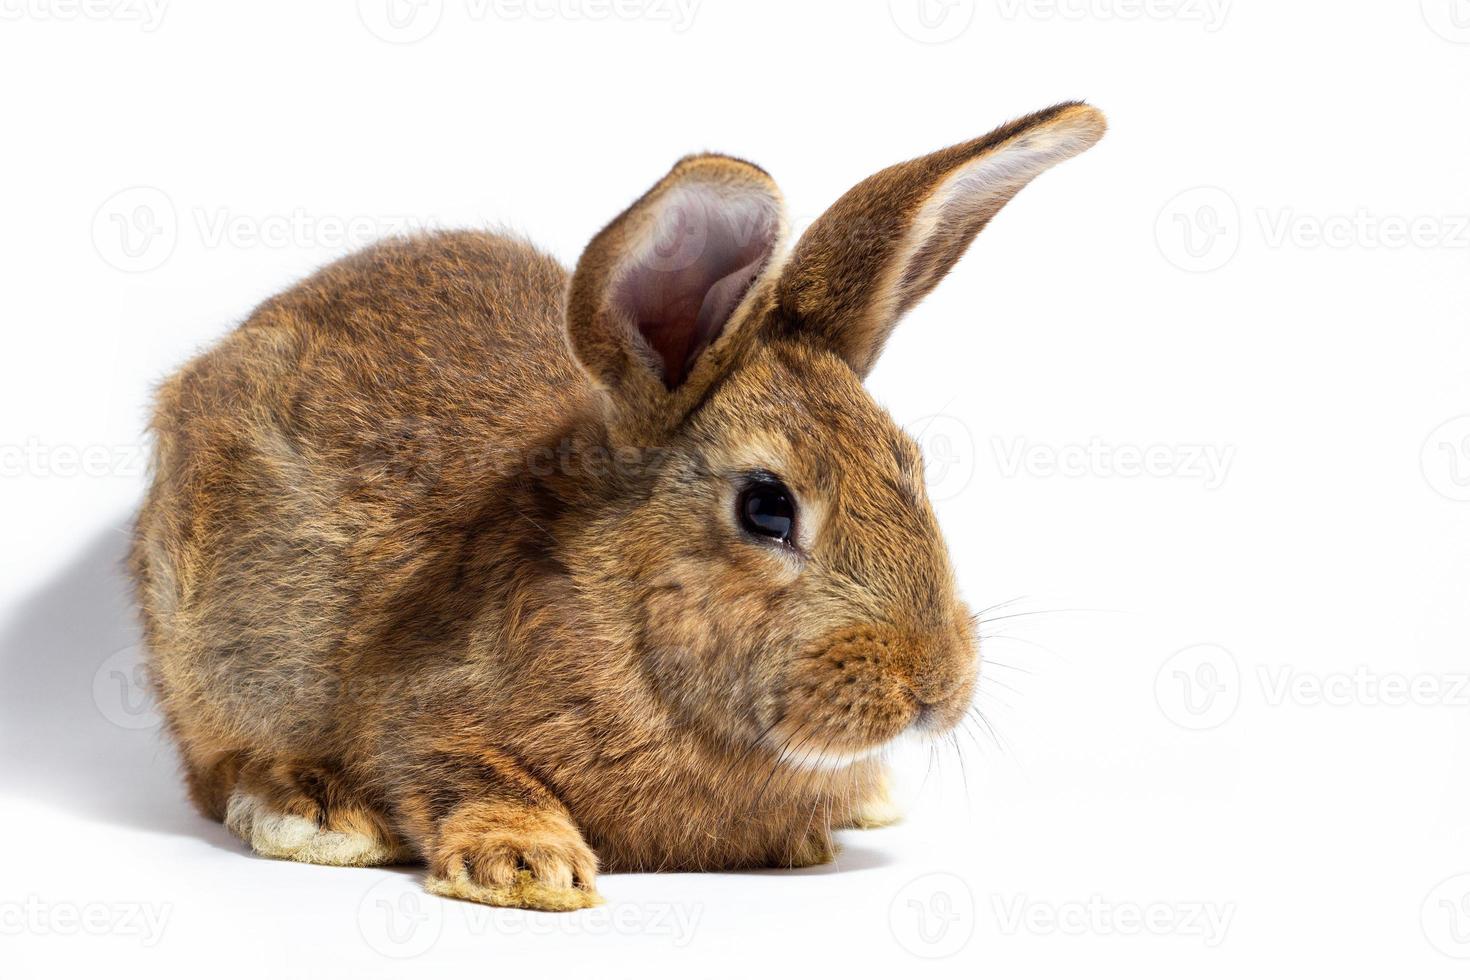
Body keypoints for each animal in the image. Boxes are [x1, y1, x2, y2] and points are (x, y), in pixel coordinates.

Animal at [135, 101, 1105, 910]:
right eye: (766, 508)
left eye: (912, 466)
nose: (934, 684)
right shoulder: (416, 711)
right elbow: (455, 767)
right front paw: (530, 867)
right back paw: (314, 813)